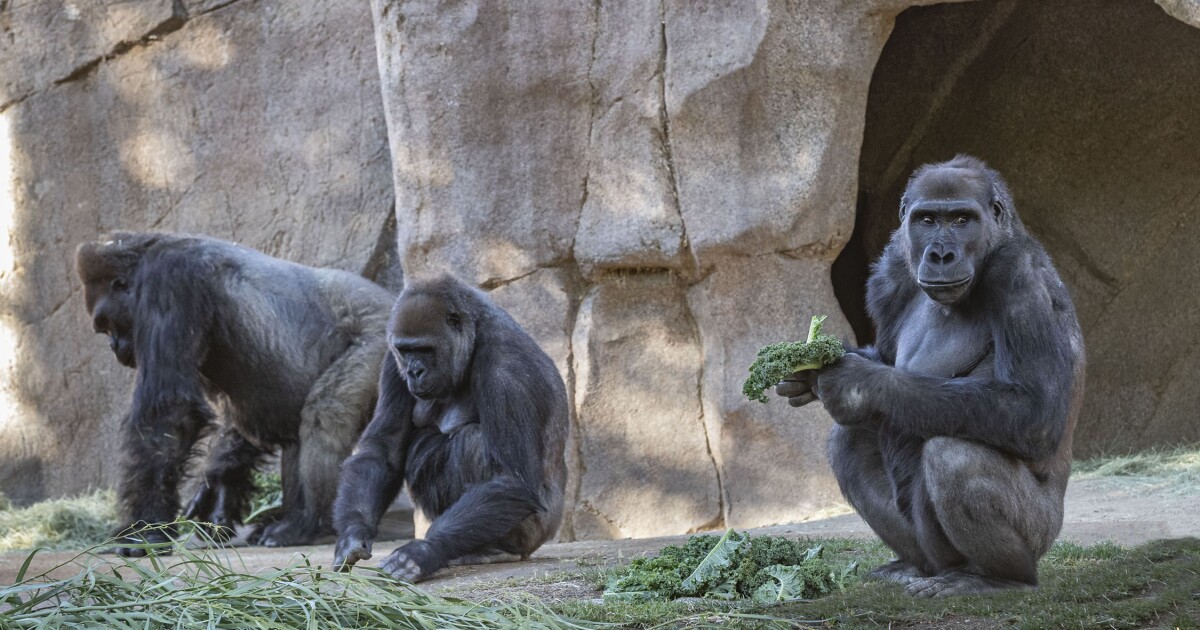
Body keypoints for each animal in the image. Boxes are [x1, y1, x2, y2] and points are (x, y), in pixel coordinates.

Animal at [76, 231, 393, 554]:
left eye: (107, 323)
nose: (114, 346)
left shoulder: (168, 279)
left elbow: (170, 414)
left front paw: (145, 528)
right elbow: (241, 420)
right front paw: (218, 485)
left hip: (380, 336)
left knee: (325, 414)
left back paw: (306, 522)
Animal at [331, 272, 568, 583]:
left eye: (425, 349)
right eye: (406, 351)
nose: (414, 372)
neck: (475, 334)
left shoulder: (506, 368)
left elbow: (511, 479)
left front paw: (425, 551)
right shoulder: (392, 362)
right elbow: (382, 452)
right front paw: (352, 535)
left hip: (537, 532)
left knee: (471, 442)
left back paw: (495, 549)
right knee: (426, 444)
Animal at [777, 156, 1089, 595]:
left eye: (961, 219)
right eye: (927, 220)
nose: (941, 253)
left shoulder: (1018, 272)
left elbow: (1033, 409)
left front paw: (855, 384)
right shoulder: (892, 271)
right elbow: (885, 357)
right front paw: (810, 371)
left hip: (1043, 532)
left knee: (954, 456)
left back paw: (995, 577)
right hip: (928, 551)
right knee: (849, 442)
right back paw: (914, 566)